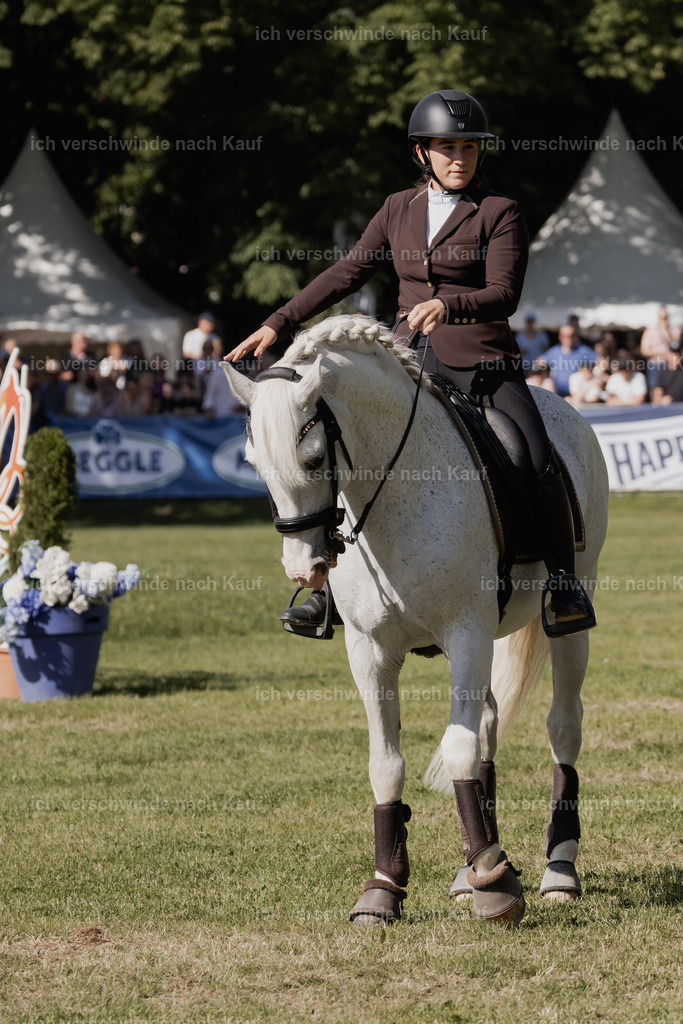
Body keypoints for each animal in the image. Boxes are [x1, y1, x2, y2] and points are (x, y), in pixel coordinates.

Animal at [221, 313, 609, 927]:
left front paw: (495, 885)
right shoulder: (371, 650)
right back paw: (474, 865)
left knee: (562, 726)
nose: (305, 569)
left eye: (313, 458)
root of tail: (562, 406)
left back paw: (557, 870)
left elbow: (458, 748)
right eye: (255, 465)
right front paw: (385, 888)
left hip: (569, 615)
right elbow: (389, 763)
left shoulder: (466, 634)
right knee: (488, 727)